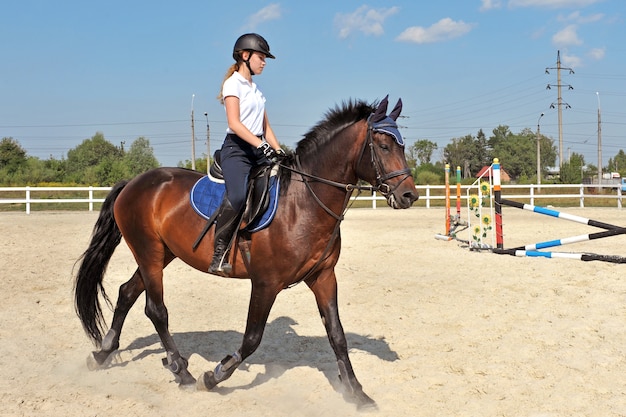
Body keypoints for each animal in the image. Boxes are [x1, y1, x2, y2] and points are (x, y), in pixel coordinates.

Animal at [73, 94, 416, 406]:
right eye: (384, 146)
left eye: (402, 145)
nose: (409, 195)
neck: (304, 201)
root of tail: (133, 182)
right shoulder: (266, 282)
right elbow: (252, 338)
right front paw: (213, 376)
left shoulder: (323, 277)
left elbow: (337, 335)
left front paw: (357, 393)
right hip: (150, 253)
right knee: (155, 309)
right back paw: (182, 371)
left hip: (160, 255)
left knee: (127, 292)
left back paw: (102, 354)